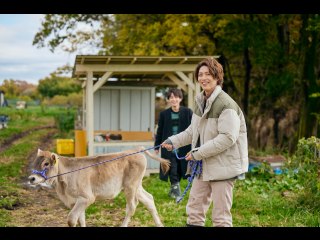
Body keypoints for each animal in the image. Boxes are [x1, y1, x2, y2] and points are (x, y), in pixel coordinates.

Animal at [28, 146, 170, 227]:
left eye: (46, 163)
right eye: (34, 162)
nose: (31, 178)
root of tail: (135, 150)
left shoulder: (87, 198)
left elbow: (72, 219)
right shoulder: (76, 201)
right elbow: (81, 219)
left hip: (130, 186)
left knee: (131, 207)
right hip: (136, 186)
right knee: (149, 199)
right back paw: (159, 224)